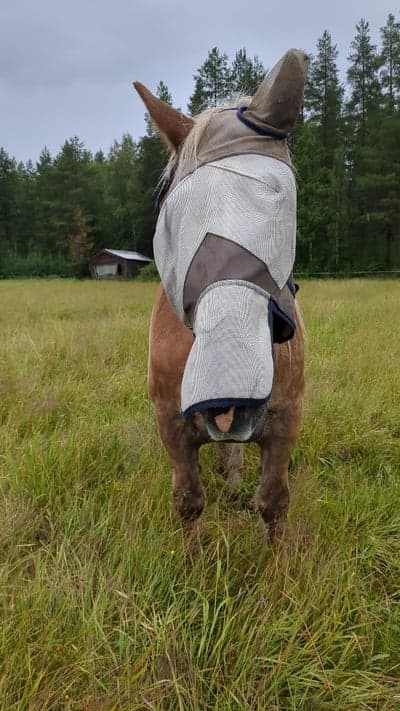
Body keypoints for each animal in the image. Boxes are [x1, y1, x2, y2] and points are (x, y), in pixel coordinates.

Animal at [134, 49, 309, 542]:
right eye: (171, 214)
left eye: (285, 203)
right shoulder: (171, 423)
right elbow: (189, 501)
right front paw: (189, 561)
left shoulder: (284, 420)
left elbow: (273, 502)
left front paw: (279, 564)